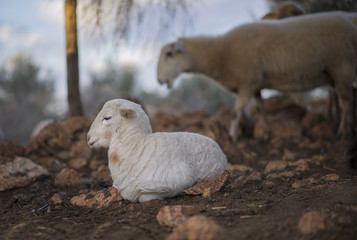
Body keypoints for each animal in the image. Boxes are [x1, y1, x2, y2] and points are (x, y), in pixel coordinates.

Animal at [156, 11, 356, 141]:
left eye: (169, 54)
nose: (158, 80)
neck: (221, 53)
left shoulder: (247, 82)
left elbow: (236, 112)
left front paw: (232, 136)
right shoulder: (256, 83)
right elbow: (260, 107)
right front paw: (266, 133)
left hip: (342, 65)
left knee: (347, 101)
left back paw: (343, 132)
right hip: (334, 71)